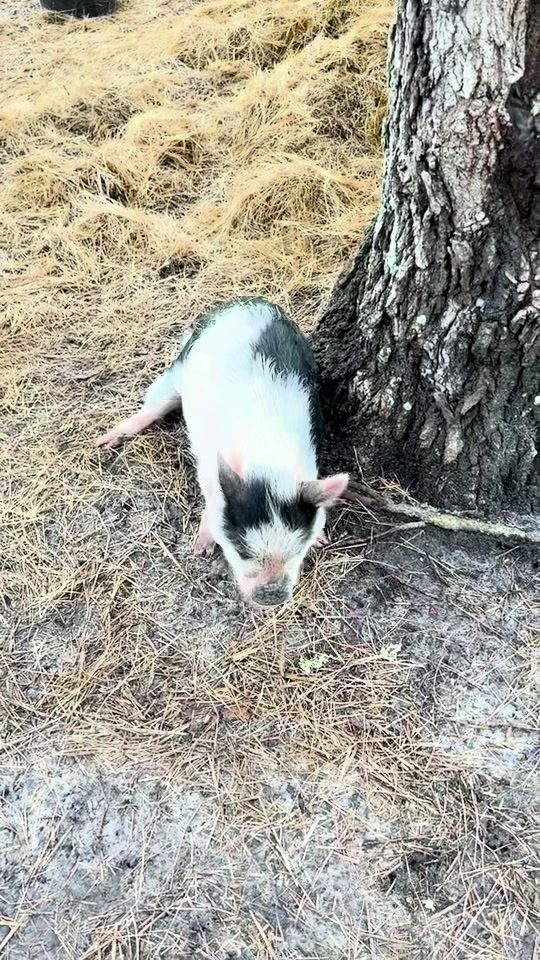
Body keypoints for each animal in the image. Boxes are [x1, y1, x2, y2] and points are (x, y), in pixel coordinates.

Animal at [96, 298, 348, 607]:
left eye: (299, 550)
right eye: (241, 551)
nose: (272, 598)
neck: (265, 459)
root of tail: (246, 304)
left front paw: (323, 539)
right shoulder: (206, 466)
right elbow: (209, 502)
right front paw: (200, 550)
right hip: (180, 366)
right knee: (154, 402)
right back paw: (105, 442)